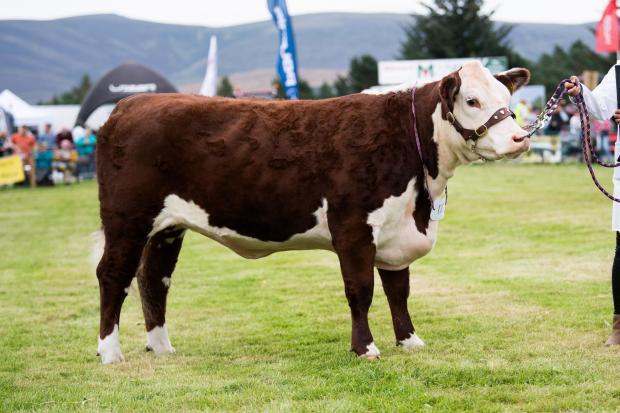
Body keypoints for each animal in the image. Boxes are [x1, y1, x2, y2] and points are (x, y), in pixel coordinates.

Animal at [94, 59, 532, 362]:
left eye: (507, 100)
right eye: (472, 100)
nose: (520, 138)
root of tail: (130, 104)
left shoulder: (397, 230)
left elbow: (399, 291)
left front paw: (409, 341)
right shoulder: (352, 226)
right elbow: (361, 290)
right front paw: (365, 348)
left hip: (167, 227)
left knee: (154, 278)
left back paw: (161, 347)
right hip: (126, 219)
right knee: (113, 275)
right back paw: (110, 353)